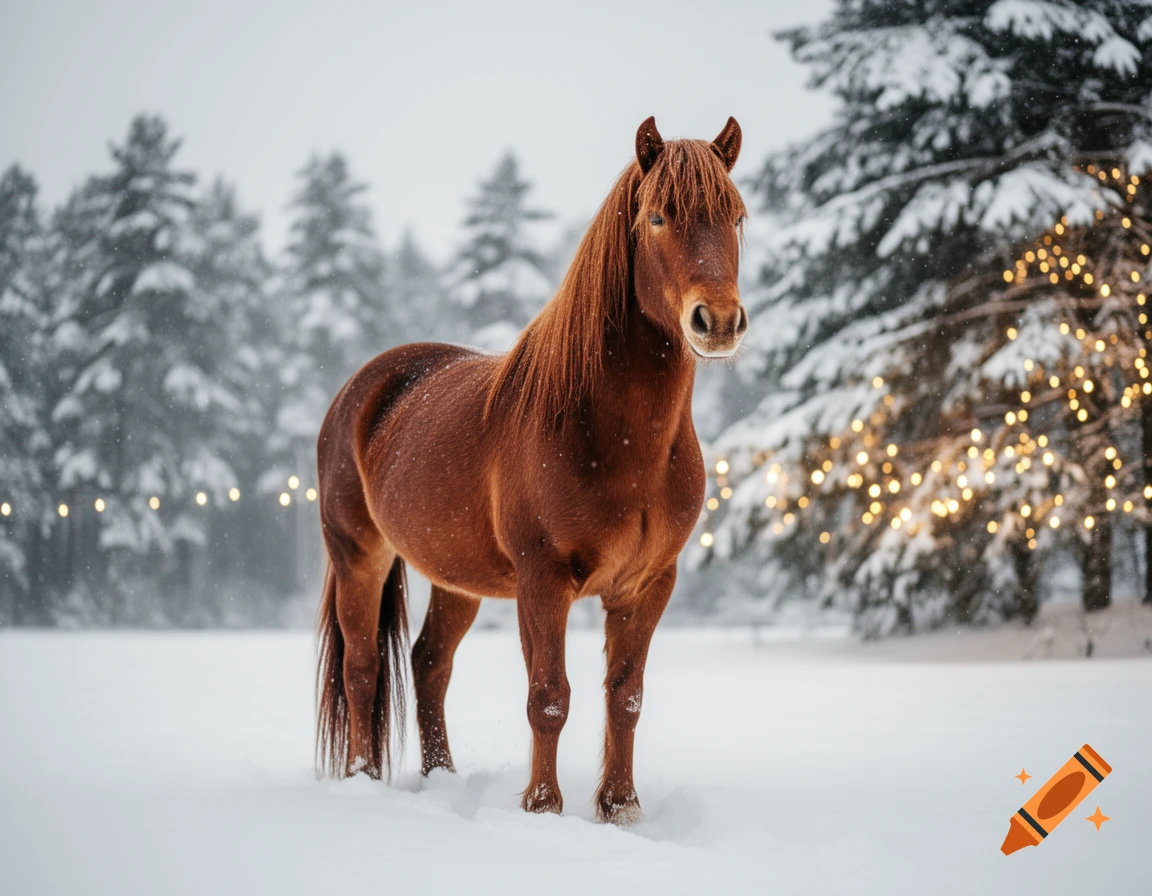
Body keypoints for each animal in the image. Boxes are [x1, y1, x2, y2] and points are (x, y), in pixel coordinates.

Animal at [315, 116, 748, 823]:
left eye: (736, 217)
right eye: (658, 216)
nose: (717, 321)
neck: (619, 438)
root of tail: (362, 388)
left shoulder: (648, 585)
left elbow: (624, 697)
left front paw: (620, 807)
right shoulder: (543, 581)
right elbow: (549, 697)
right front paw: (543, 808)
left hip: (456, 577)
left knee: (429, 664)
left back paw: (443, 778)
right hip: (359, 557)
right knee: (362, 670)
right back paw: (362, 779)